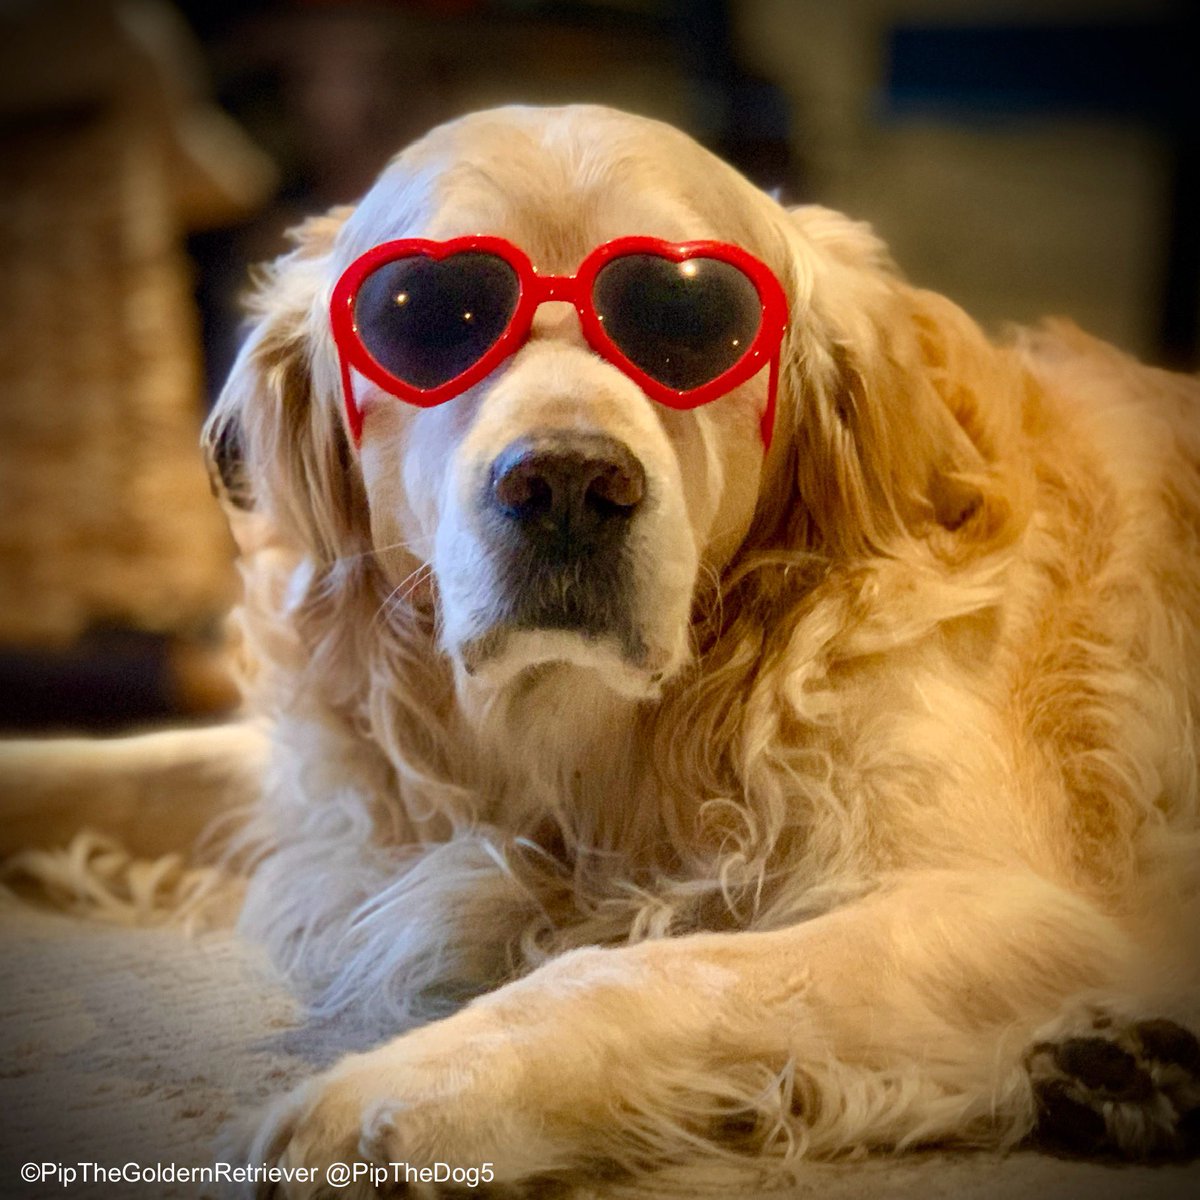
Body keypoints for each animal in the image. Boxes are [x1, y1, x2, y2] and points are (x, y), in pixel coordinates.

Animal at [2, 108, 1200, 1195]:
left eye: (688, 315)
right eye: (423, 314)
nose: (569, 482)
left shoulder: (1004, 905)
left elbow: (643, 974)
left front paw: (383, 1100)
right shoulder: (345, 788)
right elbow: (123, 763)